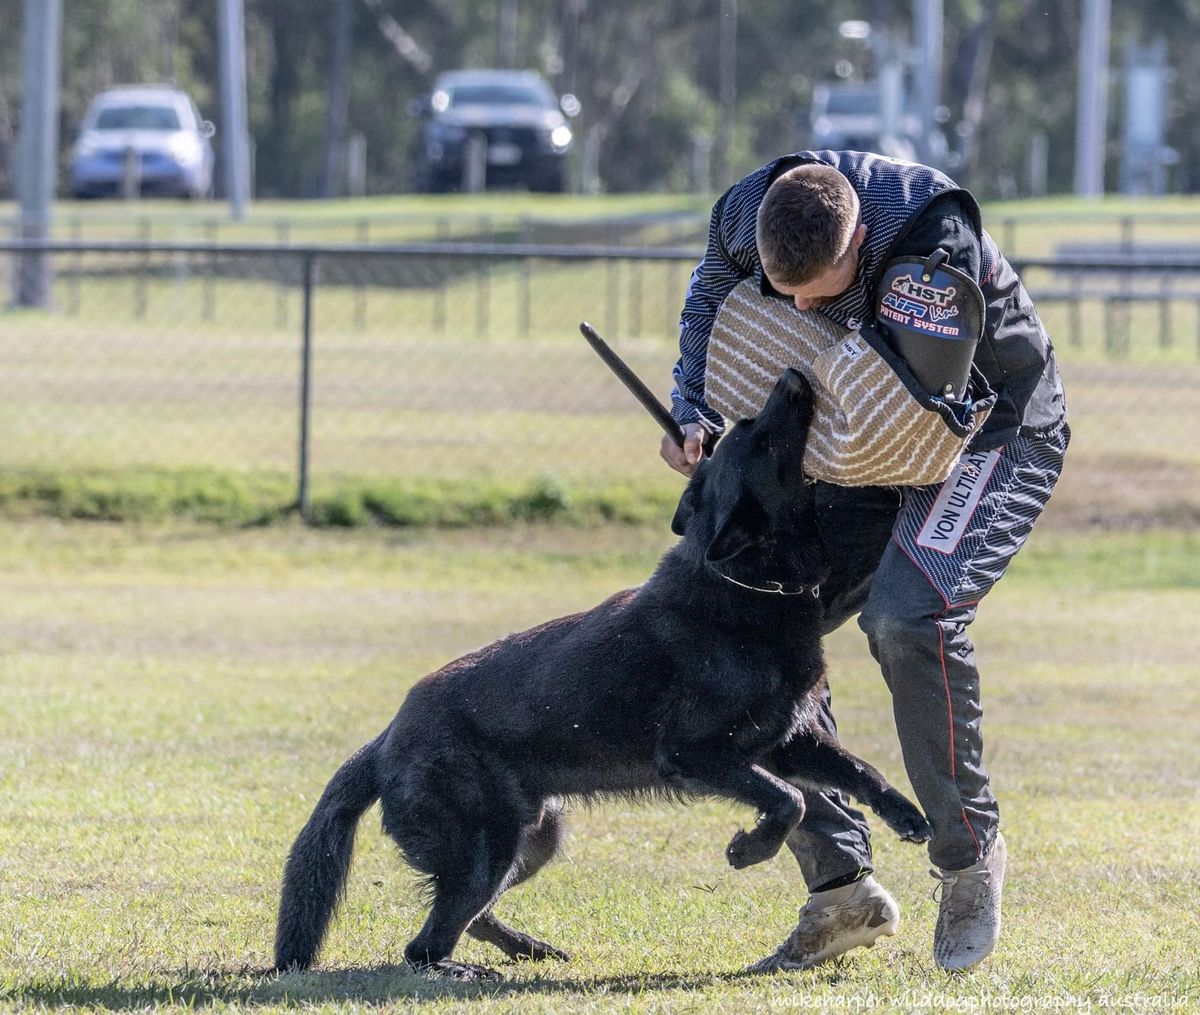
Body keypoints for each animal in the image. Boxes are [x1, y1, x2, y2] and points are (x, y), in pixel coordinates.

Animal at [274, 369, 926, 983]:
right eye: (761, 439)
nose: (793, 377)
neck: (747, 584)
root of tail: (387, 736)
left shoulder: (788, 742)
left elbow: (861, 772)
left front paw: (908, 815)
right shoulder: (700, 757)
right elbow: (789, 800)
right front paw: (751, 849)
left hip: (535, 838)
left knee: (470, 916)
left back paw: (525, 948)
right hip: (490, 846)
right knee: (423, 945)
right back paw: (458, 969)